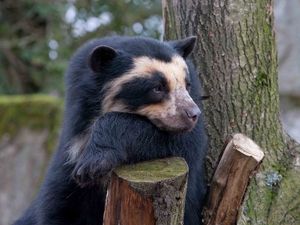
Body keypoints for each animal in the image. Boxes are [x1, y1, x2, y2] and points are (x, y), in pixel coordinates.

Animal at [13, 36, 206, 225]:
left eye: (187, 85)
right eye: (157, 88)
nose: (193, 114)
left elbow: (183, 144)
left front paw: (92, 164)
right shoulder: (71, 144)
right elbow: (59, 204)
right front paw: (88, 171)